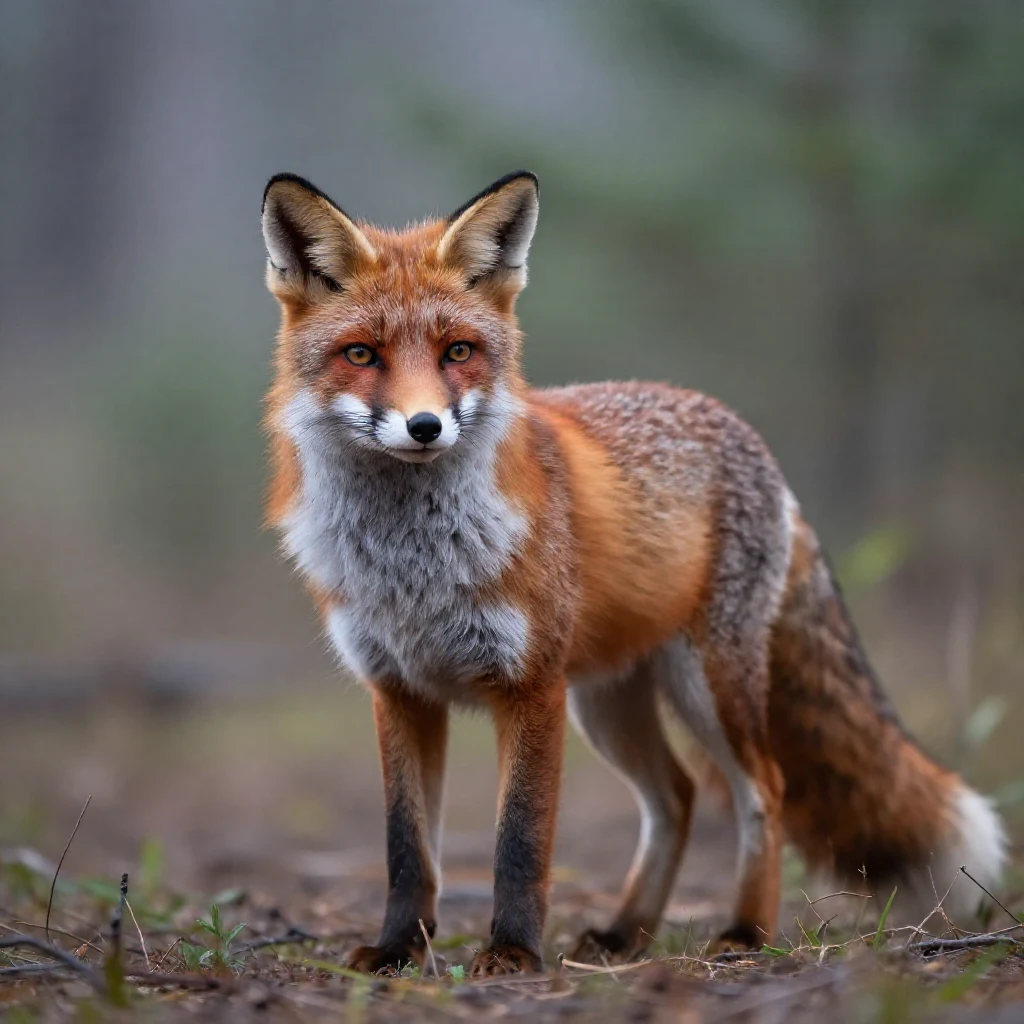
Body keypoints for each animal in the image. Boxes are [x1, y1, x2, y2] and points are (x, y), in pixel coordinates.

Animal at [260, 170, 1007, 976]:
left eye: (457, 350)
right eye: (362, 355)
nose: (425, 426)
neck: (413, 567)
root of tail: (749, 436)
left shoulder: (531, 688)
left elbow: (520, 841)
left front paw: (513, 952)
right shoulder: (399, 692)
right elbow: (406, 848)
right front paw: (399, 950)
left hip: (706, 686)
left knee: (763, 789)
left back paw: (745, 931)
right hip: (609, 701)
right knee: (674, 797)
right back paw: (625, 932)